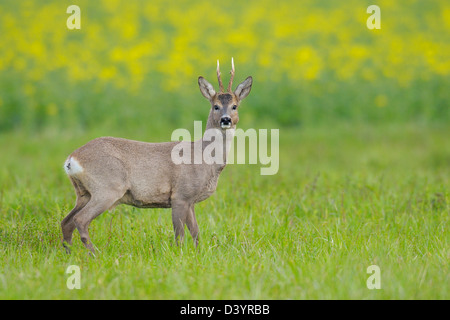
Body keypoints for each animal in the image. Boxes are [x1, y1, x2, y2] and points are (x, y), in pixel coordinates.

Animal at [60, 58, 253, 254]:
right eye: (216, 106)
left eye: (234, 106)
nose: (225, 119)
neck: (205, 158)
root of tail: (71, 159)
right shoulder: (180, 195)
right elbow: (179, 235)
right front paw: (179, 255)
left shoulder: (190, 200)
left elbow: (196, 232)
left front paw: (199, 254)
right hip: (107, 187)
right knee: (80, 220)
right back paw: (95, 254)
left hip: (83, 192)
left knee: (66, 222)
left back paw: (70, 253)